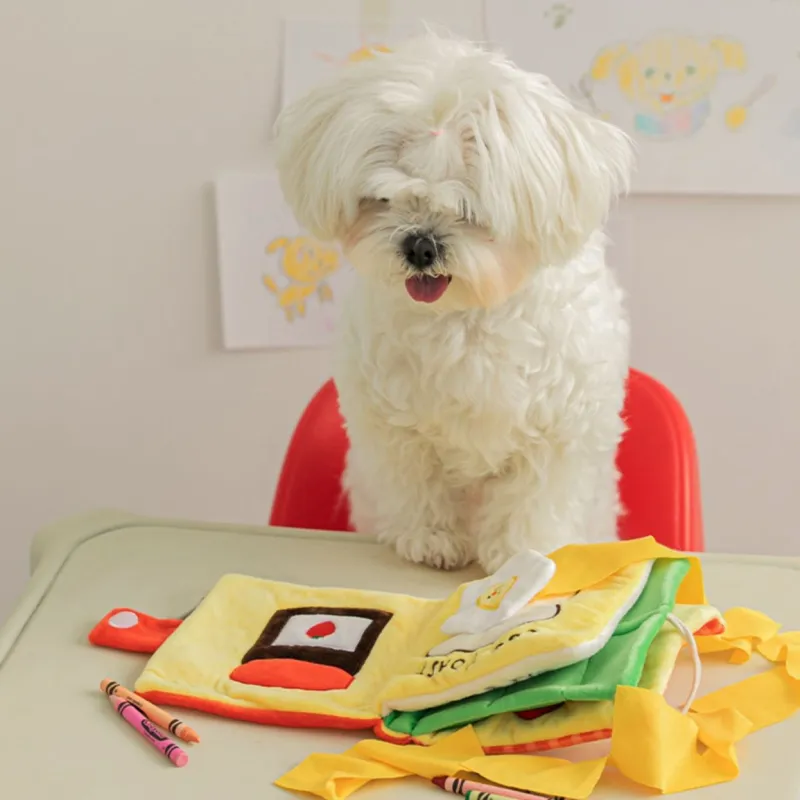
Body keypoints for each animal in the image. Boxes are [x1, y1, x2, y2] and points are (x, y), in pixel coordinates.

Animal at [278, 29, 636, 568]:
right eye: (383, 200)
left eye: (469, 210)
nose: (420, 245)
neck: (466, 315)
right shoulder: (393, 426)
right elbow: (415, 481)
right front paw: (431, 539)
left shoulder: (558, 430)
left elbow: (534, 497)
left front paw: (520, 552)